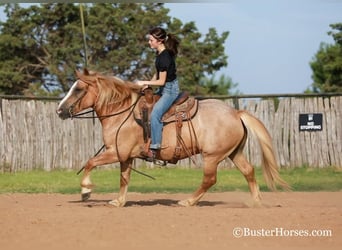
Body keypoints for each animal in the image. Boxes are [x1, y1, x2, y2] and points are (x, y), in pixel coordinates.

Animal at [56, 69, 288, 207]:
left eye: (78, 89)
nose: (59, 110)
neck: (122, 113)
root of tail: (235, 113)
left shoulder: (115, 153)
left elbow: (89, 162)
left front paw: (86, 191)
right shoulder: (125, 157)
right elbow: (124, 179)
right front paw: (119, 201)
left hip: (212, 156)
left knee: (209, 179)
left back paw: (188, 201)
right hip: (234, 153)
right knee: (248, 171)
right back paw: (256, 202)